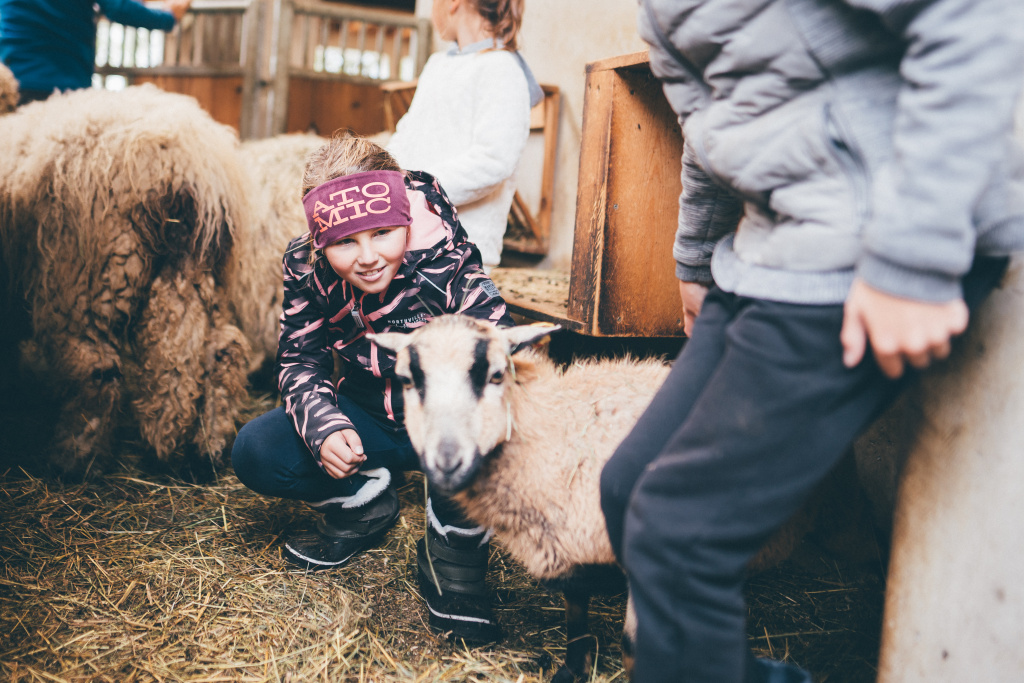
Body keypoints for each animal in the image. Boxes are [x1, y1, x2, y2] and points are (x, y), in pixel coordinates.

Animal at [0, 84, 251, 478]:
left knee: (98, 369)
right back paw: (206, 444)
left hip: (87, 275)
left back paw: (76, 459)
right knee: (222, 349)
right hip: (200, 268)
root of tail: (191, 160)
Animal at [370, 314, 812, 682]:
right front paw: (573, 669)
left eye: (496, 375)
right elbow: (576, 611)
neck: (562, 430)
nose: (447, 461)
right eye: (407, 380)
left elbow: (633, 646)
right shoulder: (568, 541)